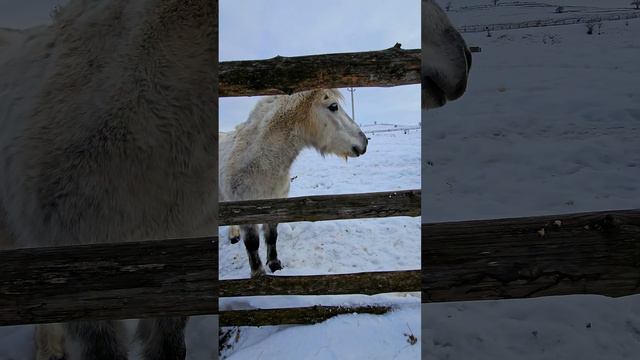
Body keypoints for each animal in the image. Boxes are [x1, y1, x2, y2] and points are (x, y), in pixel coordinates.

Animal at [219, 88, 364, 278]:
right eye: (333, 106)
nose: (364, 142)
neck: (259, 164)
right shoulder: (245, 212)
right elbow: (252, 244)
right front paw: (258, 274)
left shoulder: (275, 206)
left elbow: (271, 236)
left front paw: (274, 264)